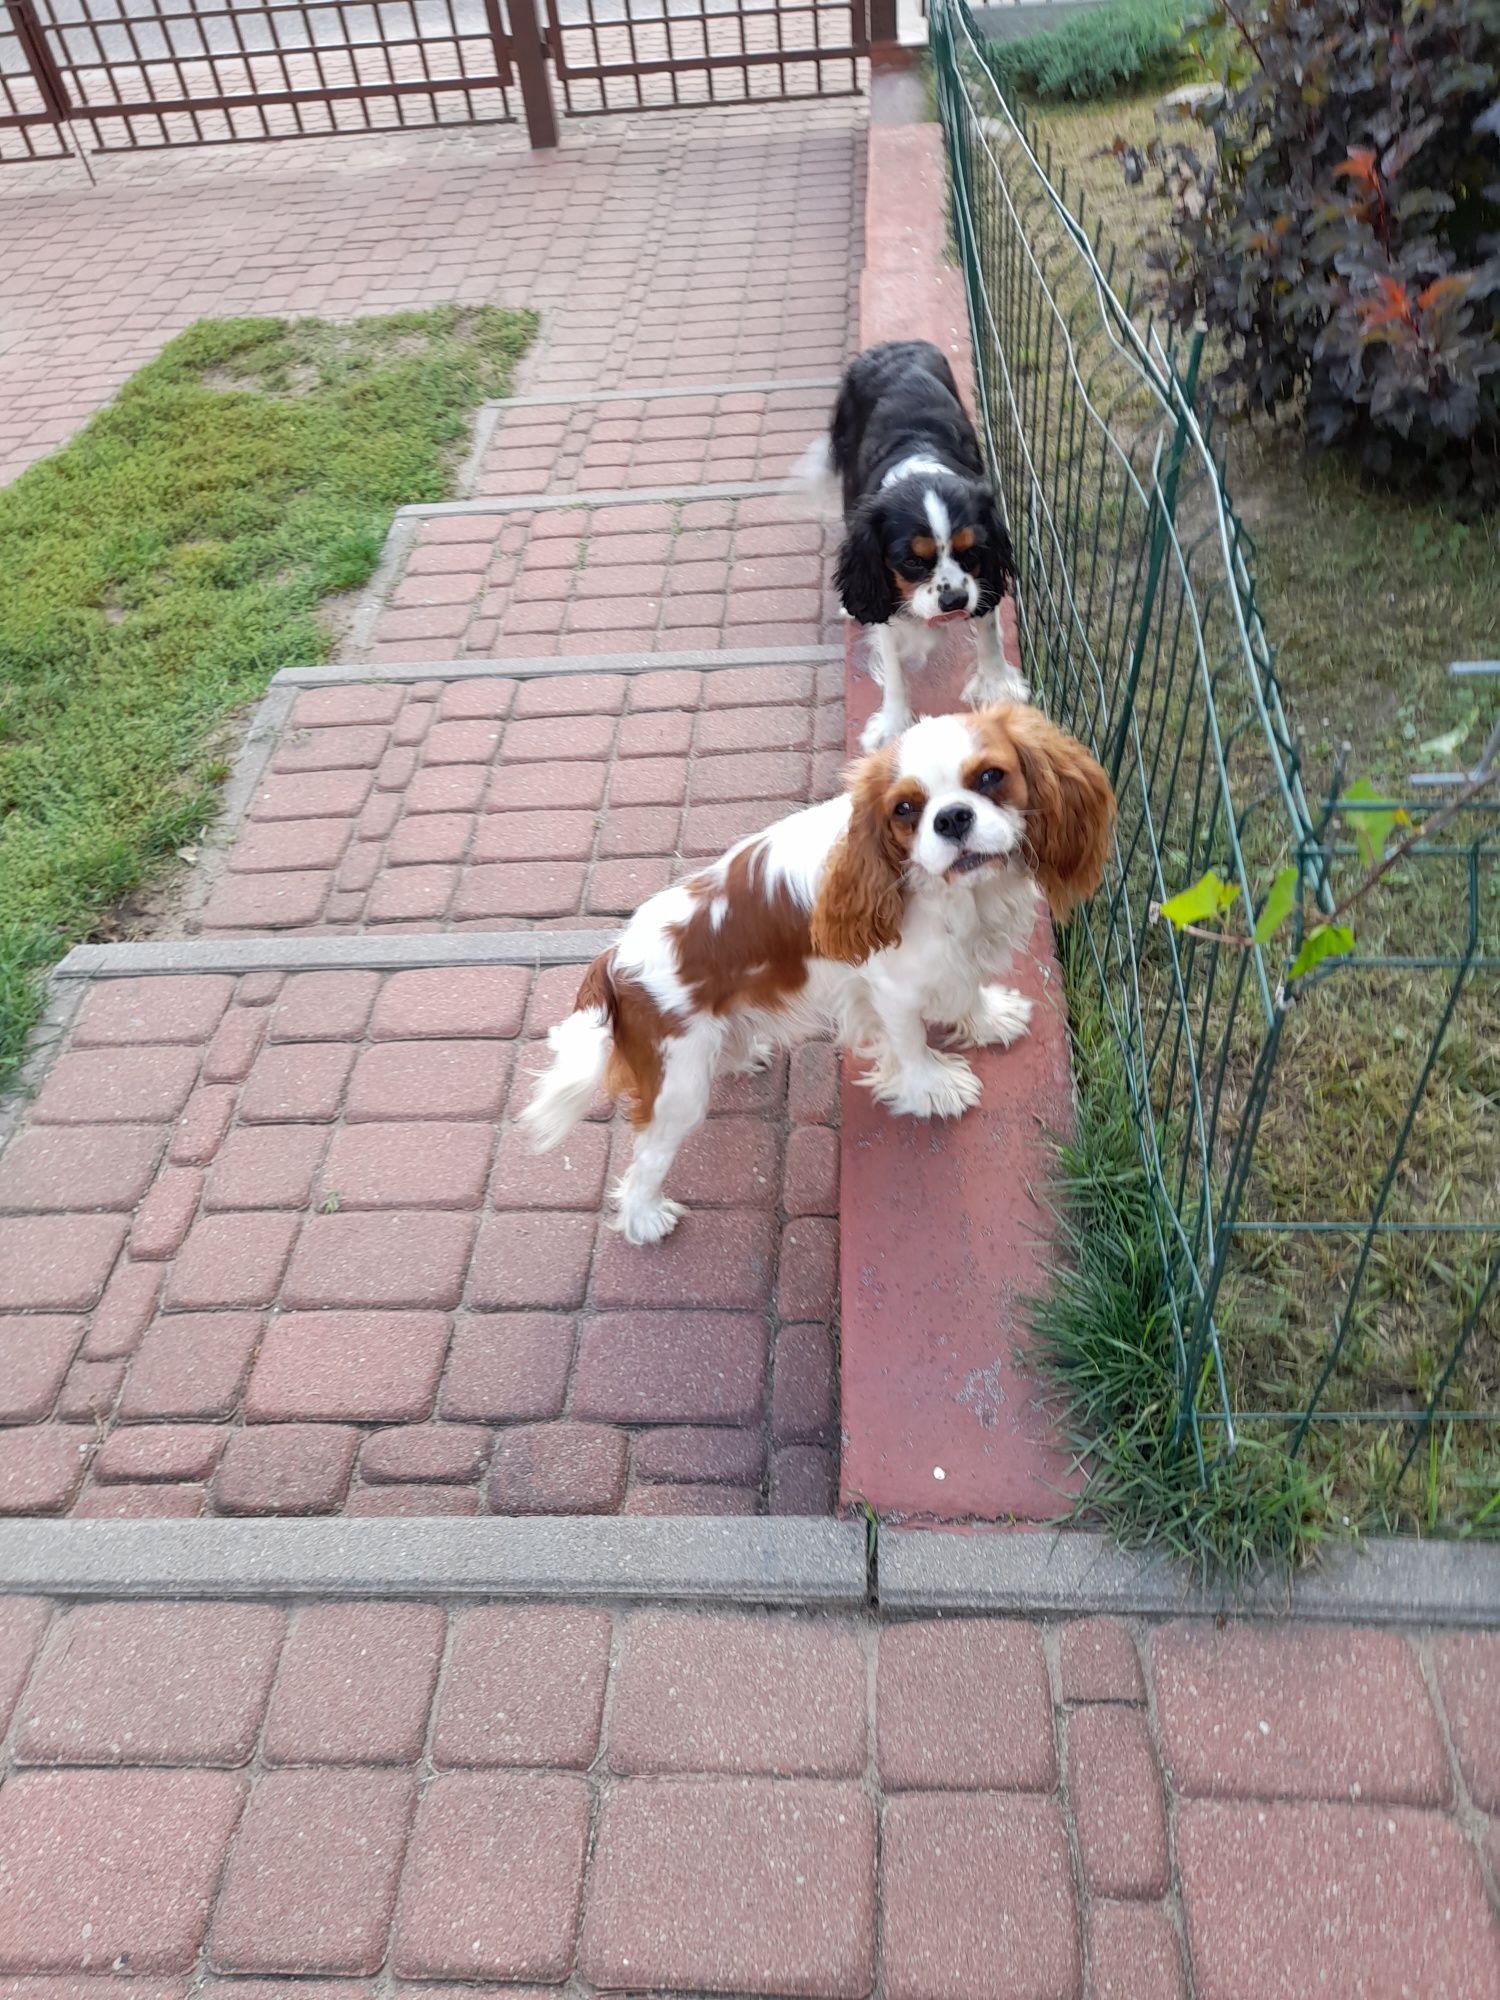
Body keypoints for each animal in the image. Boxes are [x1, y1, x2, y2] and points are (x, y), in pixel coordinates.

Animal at [524, 700, 1112, 1232]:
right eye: (905, 809)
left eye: (991, 777)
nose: (951, 818)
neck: (952, 892)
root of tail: (613, 958)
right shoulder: (893, 988)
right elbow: (911, 1044)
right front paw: (933, 1088)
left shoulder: (952, 957)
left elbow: (966, 990)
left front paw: (988, 1020)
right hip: (678, 1084)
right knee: (647, 1158)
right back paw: (646, 1218)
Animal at [816, 340, 1032, 752]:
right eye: (912, 561)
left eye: (971, 551)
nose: (954, 601)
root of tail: (896, 344)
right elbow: (893, 661)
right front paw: (892, 724)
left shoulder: (983, 577)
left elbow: (988, 631)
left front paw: (997, 684)